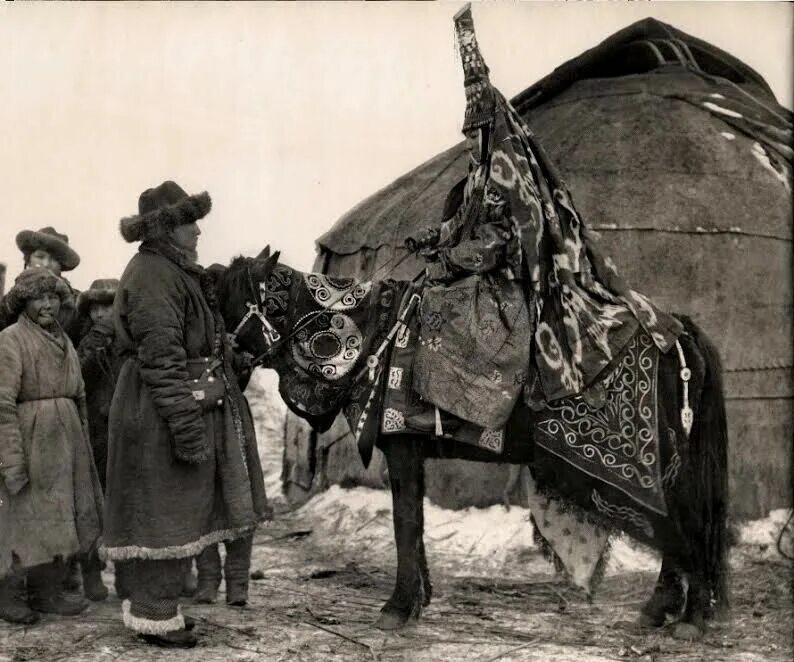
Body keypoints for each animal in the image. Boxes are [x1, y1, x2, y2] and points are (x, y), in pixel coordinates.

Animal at [213, 250, 728, 644]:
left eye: (225, 299)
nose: (226, 364)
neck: (376, 333)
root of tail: (679, 330)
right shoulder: (413, 452)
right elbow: (414, 524)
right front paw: (417, 600)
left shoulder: (402, 448)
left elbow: (405, 522)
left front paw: (397, 608)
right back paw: (660, 609)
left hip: (664, 467)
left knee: (688, 525)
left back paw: (691, 618)